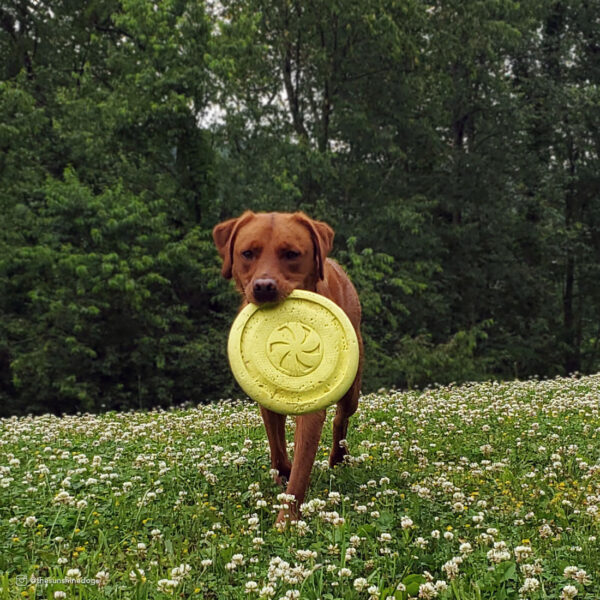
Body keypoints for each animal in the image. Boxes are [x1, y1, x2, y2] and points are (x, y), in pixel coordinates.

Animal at [213, 213, 364, 524]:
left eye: (292, 254)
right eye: (248, 253)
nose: (264, 286)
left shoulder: (313, 408)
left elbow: (300, 472)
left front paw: (286, 521)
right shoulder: (265, 397)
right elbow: (278, 447)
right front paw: (281, 473)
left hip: (352, 385)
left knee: (341, 419)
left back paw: (338, 458)